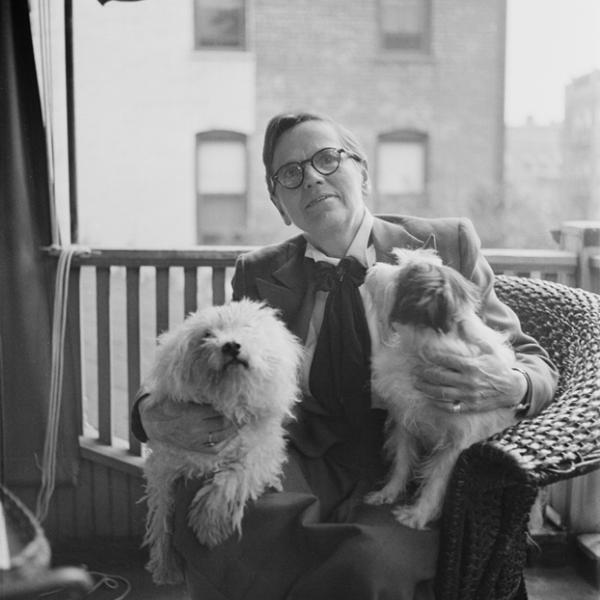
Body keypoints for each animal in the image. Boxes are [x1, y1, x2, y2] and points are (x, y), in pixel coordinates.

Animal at [141, 298, 300, 580]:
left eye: (247, 328)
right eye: (207, 335)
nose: (231, 345)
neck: (229, 400)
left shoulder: (262, 455)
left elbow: (231, 480)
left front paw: (208, 526)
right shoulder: (165, 467)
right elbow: (162, 516)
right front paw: (165, 564)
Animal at [364, 248, 516, 528]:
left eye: (402, 274)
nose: (374, 267)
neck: (420, 348)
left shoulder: (455, 445)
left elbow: (436, 481)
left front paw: (418, 514)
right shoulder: (405, 421)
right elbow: (402, 462)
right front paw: (388, 492)